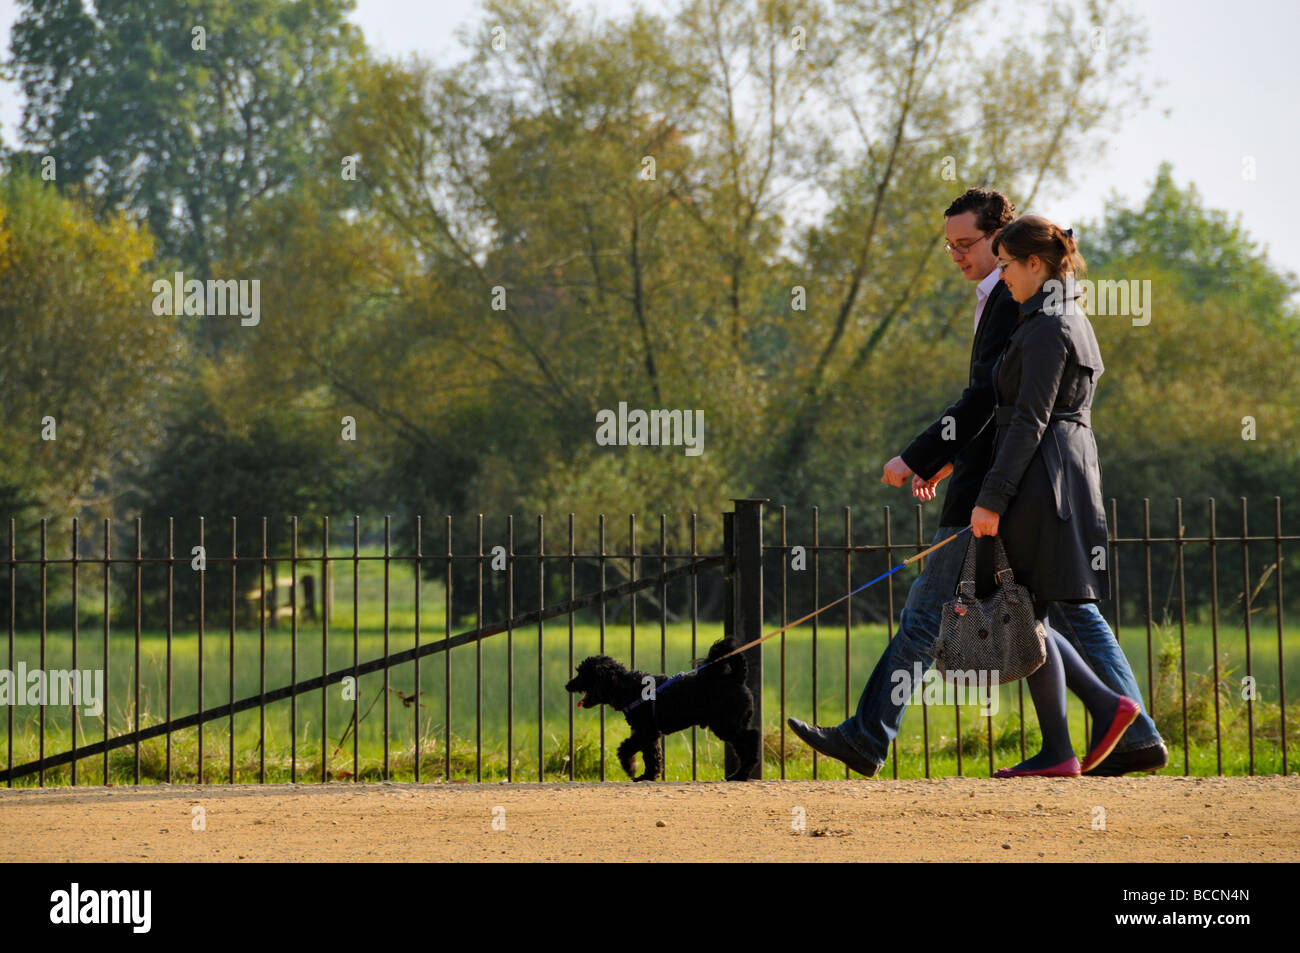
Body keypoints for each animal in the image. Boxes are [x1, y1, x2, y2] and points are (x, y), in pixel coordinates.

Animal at [561, 639, 759, 780]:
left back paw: (741, 774)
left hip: (726, 724)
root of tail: (736, 677)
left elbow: (639, 752)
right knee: (743, 746)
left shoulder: (646, 731)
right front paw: (639, 773)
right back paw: (740, 774)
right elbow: (641, 752)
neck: (628, 686)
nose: (567, 685)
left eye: (582, 674)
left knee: (751, 738)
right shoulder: (645, 733)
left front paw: (639, 772)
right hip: (729, 725)